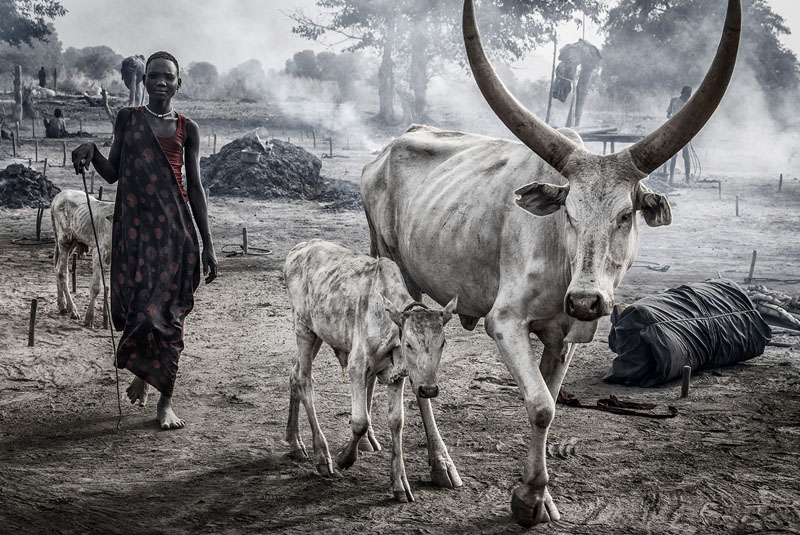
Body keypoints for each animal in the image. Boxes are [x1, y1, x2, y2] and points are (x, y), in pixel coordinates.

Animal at [51, 189, 114, 327]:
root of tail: (58, 196)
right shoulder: (99, 253)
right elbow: (96, 286)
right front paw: (89, 318)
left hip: (73, 242)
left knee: (57, 269)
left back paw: (62, 304)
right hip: (64, 240)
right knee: (62, 273)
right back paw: (72, 310)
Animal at [283, 239, 458, 502]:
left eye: (443, 343)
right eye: (409, 344)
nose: (428, 389)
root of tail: (299, 248)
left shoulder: (397, 375)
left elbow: (396, 421)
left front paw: (399, 482)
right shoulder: (357, 366)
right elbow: (360, 422)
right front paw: (344, 459)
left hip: (318, 333)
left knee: (294, 374)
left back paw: (295, 442)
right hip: (303, 328)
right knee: (304, 381)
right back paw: (322, 455)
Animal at [360, 0, 740, 526]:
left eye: (625, 214)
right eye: (569, 213)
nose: (585, 300)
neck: (564, 264)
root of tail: (384, 152)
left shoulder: (566, 336)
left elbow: (551, 401)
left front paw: (543, 499)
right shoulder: (505, 321)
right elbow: (541, 405)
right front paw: (527, 499)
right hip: (391, 266)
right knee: (406, 371)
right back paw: (434, 464)